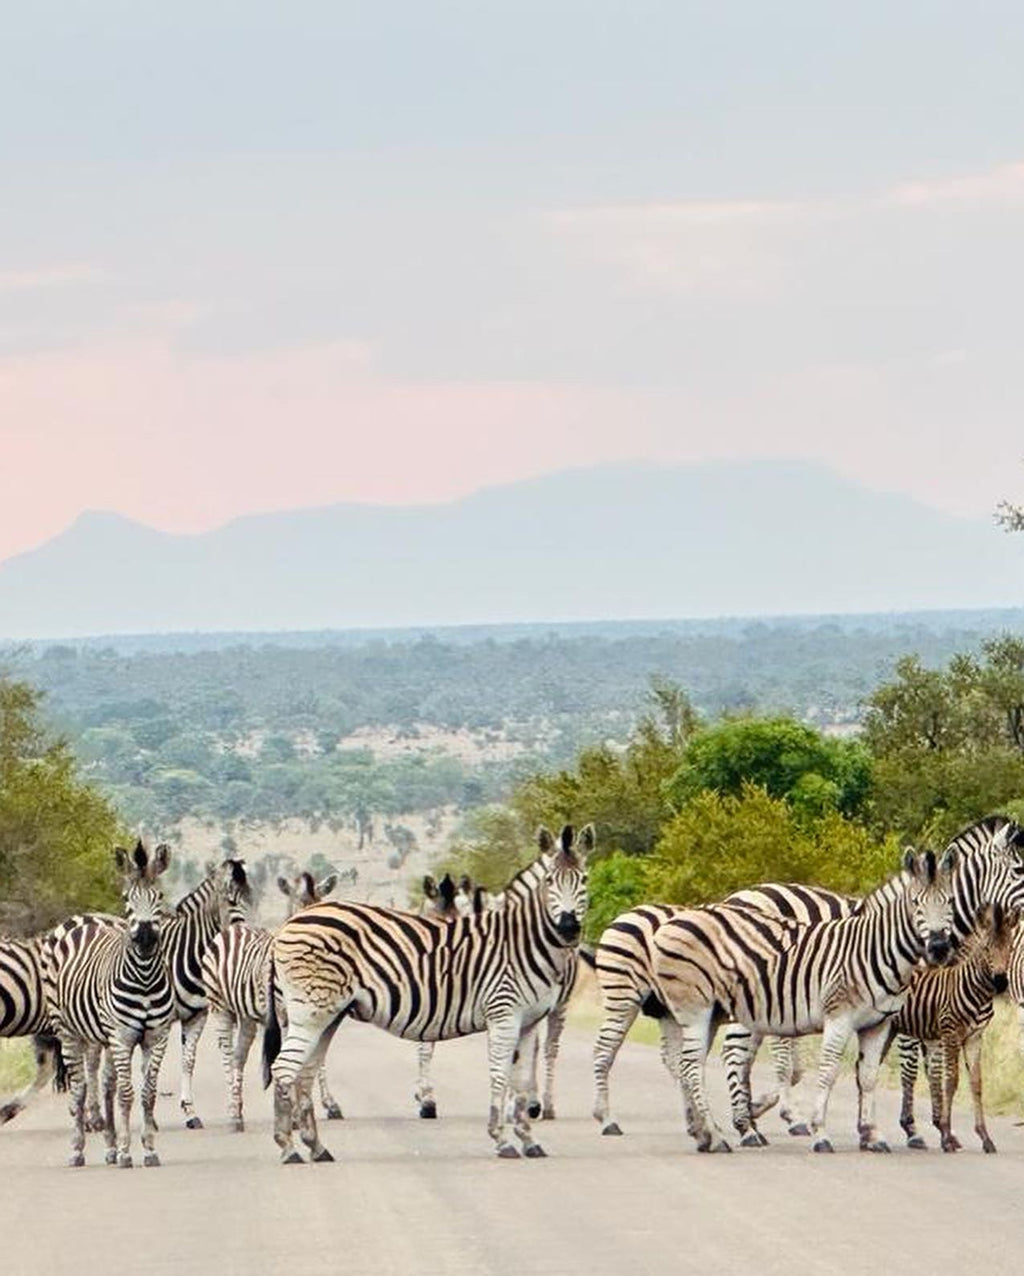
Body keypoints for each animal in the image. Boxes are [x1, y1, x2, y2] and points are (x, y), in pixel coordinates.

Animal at [45, 840, 177, 1168]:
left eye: (159, 897)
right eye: (127, 898)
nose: (145, 938)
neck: (145, 978)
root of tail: (84, 920)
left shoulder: (157, 1037)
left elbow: (147, 1093)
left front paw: (147, 1149)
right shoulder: (121, 1036)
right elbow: (127, 1094)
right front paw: (128, 1151)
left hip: (100, 1037)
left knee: (105, 1086)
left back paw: (110, 1147)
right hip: (68, 1031)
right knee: (80, 1088)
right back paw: (78, 1149)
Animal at [201, 869, 341, 1131]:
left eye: (321, 906)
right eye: (298, 909)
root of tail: (233, 928)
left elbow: (318, 1060)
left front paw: (330, 1104)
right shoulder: (284, 1016)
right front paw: (294, 1114)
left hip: (246, 1016)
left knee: (238, 1057)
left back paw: (239, 1109)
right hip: (219, 1006)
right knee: (227, 1055)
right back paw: (233, 1114)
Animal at [263, 824, 592, 1162]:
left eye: (584, 879)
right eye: (549, 881)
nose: (568, 928)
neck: (522, 940)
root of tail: (290, 923)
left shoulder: (529, 1021)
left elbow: (522, 1079)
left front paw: (528, 1139)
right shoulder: (503, 1013)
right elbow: (499, 1075)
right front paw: (501, 1140)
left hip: (327, 1015)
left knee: (304, 1073)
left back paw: (316, 1146)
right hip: (310, 1012)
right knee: (283, 1069)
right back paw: (288, 1147)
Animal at [649, 848, 957, 1153]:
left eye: (950, 902)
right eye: (916, 904)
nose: (939, 948)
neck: (876, 948)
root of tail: (669, 924)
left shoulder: (878, 1024)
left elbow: (869, 1077)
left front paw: (873, 1135)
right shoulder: (839, 1016)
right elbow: (829, 1071)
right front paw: (820, 1132)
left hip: (710, 1014)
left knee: (689, 1064)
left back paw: (706, 1134)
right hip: (695, 1011)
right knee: (692, 1066)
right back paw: (718, 1136)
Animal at [894, 901, 1020, 1153]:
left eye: (1010, 949)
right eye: (986, 950)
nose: (1001, 982)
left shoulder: (974, 1038)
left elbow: (976, 1083)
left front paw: (985, 1137)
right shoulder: (951, 1033)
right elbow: (951, 1081)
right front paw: (946, 1135)